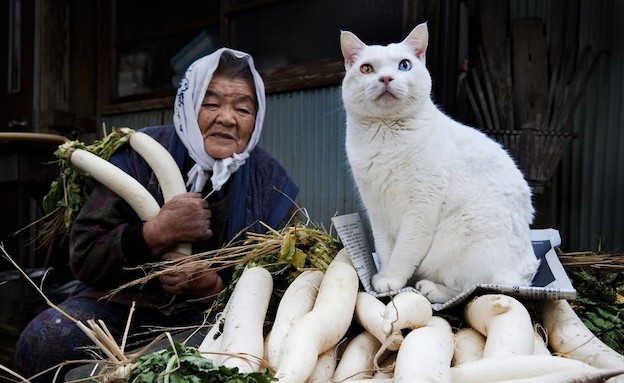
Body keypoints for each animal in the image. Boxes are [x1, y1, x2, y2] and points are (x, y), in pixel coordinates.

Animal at [338, 22, 540, 304]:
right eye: (367, 68)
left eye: (404, 65)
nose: (386, 78)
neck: (386, 137)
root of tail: (527, 272)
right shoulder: (377, 212)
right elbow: (386, 250)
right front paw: (384, 279)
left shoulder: (421, 207)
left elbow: (404, 251)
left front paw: (393, 280)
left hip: (463, 234)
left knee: (473, 287)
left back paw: (431, 288)